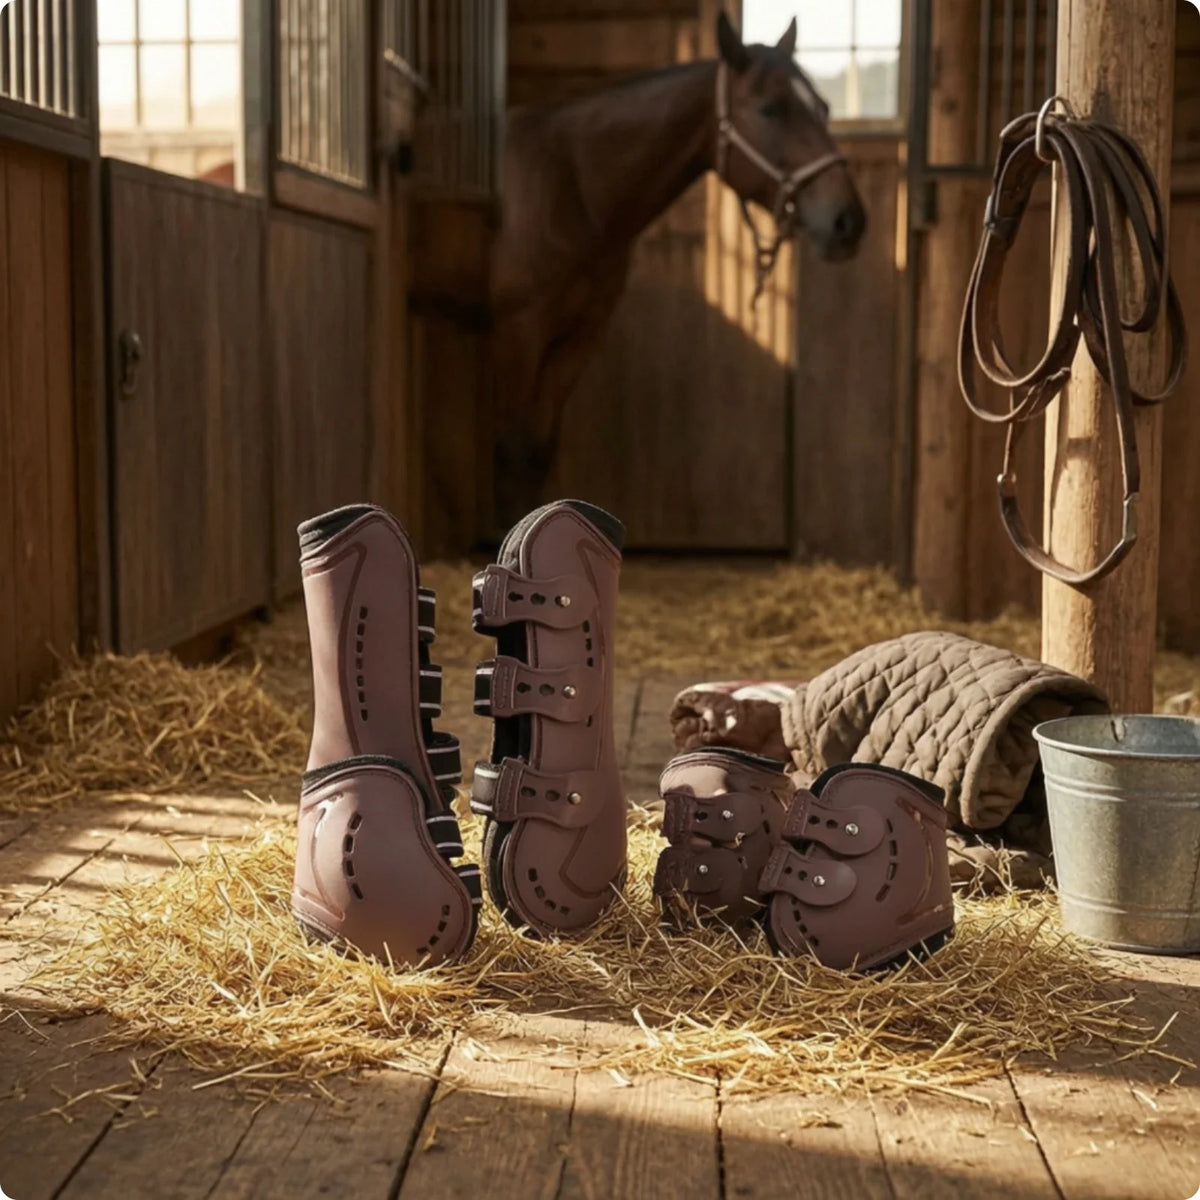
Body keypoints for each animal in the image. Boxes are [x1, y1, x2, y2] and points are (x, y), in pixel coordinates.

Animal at [487, 12, 867, 528]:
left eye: (825, 108)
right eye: (770, 109)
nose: (849, 221)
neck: (570, 184)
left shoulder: (579, 336)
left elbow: (537, 452)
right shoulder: (518, 331)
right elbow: (513, 451)